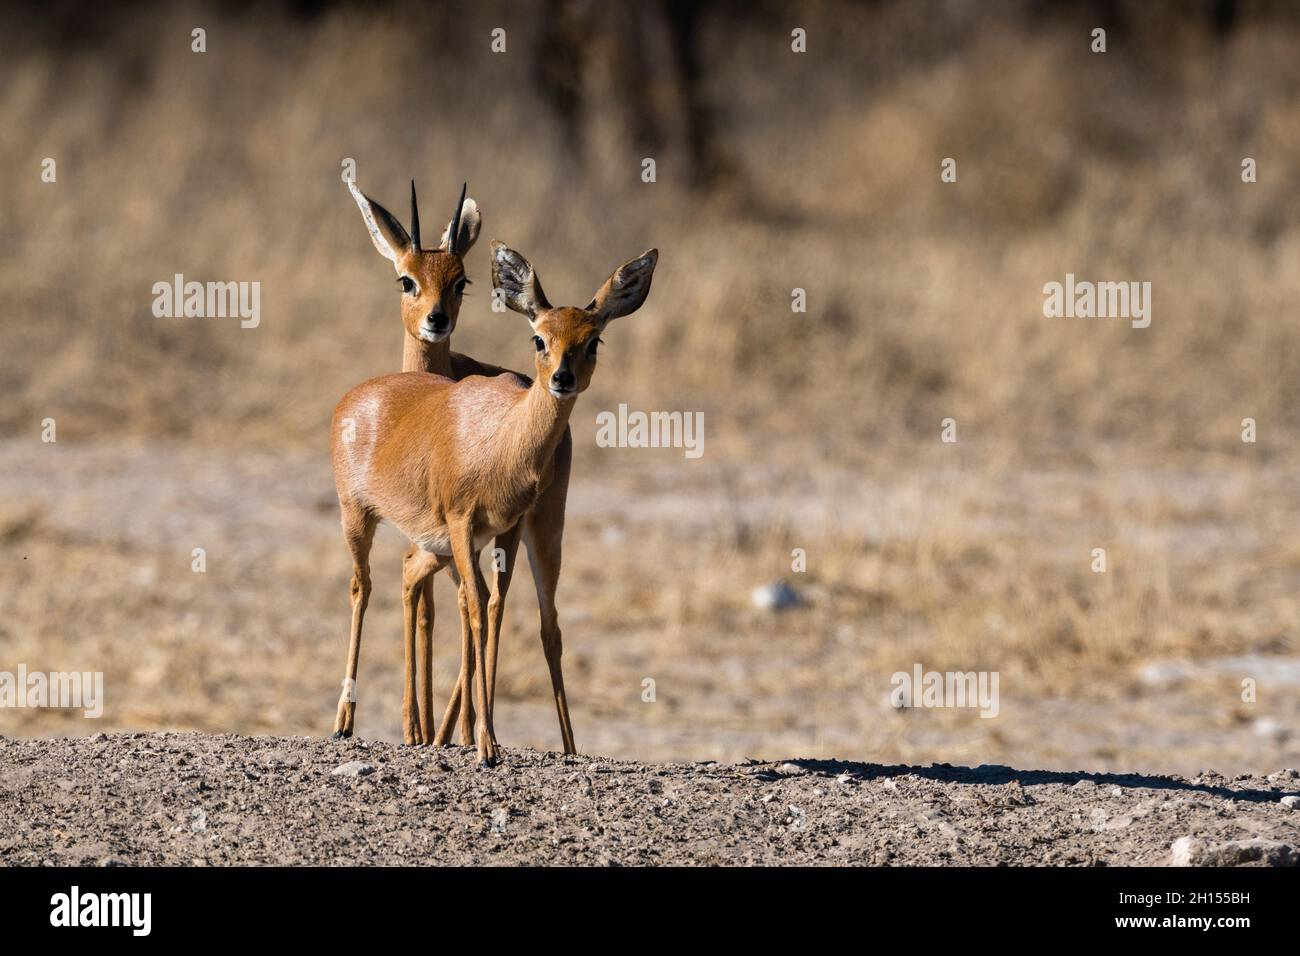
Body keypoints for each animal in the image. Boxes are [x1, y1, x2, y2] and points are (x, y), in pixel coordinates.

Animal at [330, 243, 655, 764]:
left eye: (593, 340)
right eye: (539, 337)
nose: (562, 379)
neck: (501, 439)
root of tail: (357, 395)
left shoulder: (506, 528)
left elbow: (501, 609)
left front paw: (507, 738)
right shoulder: (463, 524)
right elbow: (480, 608)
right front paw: (485, 744)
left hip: (477, 540)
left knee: (423, 578)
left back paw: (427, 729)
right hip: (359, 517)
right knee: (364, 587)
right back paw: (349, 722)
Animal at [340, 175, 574, 749]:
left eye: (460, 281)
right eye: (406, 280)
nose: (436, 320)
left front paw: (439, 728)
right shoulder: (434, 532)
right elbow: (428, 605)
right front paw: (422, 728)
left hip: (537, 528)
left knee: (510, 609)